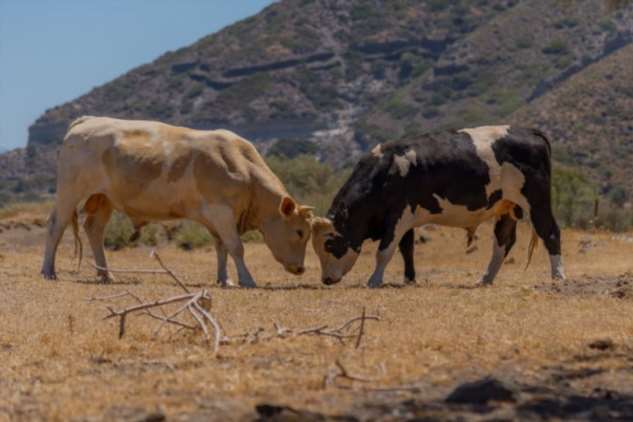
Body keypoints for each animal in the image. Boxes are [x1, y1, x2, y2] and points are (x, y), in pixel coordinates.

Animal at [40, 115, 312, 286]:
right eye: (299, 232)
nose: (301, 269)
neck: (243, 167)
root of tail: (87, 120)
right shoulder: (221, 212)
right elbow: (236, 247)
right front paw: (247, 280)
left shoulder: (216, 218)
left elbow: (221, 247)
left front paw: (225, 279)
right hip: (70, 191)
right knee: (56, 226)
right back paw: (48, 271)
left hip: (103, 198)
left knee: (94, 230)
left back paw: (106, 275)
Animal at [314, 124, 564, 286]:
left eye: (329, 244)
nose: (326, 280)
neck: (386, 171)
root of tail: (530, 132)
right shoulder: (407, 217)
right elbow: (407, 249)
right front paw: (409, 279)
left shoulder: (397, 216)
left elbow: (384, 251)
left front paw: (374, 280)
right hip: (507, 206)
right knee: (503, 241)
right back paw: (486, 279)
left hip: (536, 202)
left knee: (550, 232)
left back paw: (558, 277)